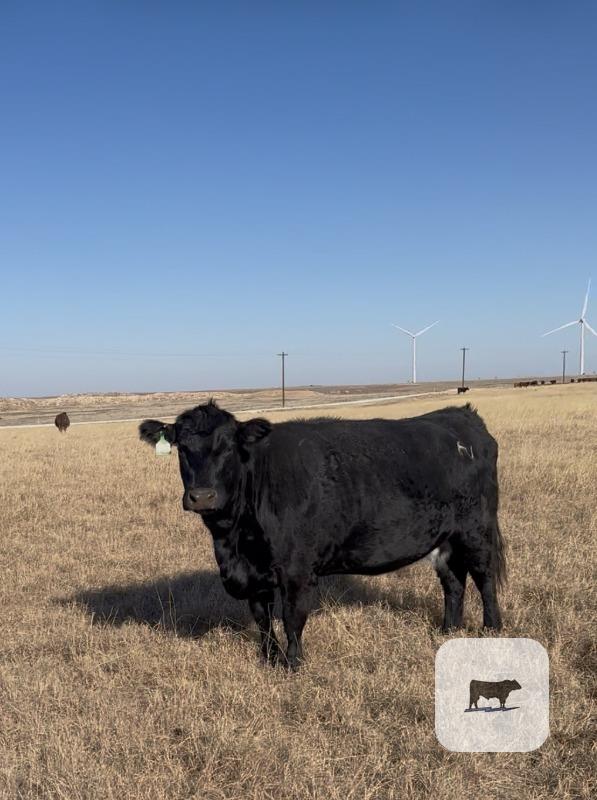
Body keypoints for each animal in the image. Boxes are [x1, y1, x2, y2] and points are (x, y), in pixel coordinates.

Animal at [139, 400, 506, 670]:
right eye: (181, 448)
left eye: (228, 447)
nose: (202, 496)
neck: (233, 541)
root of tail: (461, 414)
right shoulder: (254, 574)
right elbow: (262, 619)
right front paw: (269, 659)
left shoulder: (296, 570)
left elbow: (291, 618)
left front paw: (293, 664)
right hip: (446, 539)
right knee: (453, 581)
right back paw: (448, 630)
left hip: (477, 531)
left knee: (484, 578)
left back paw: (492, 629)